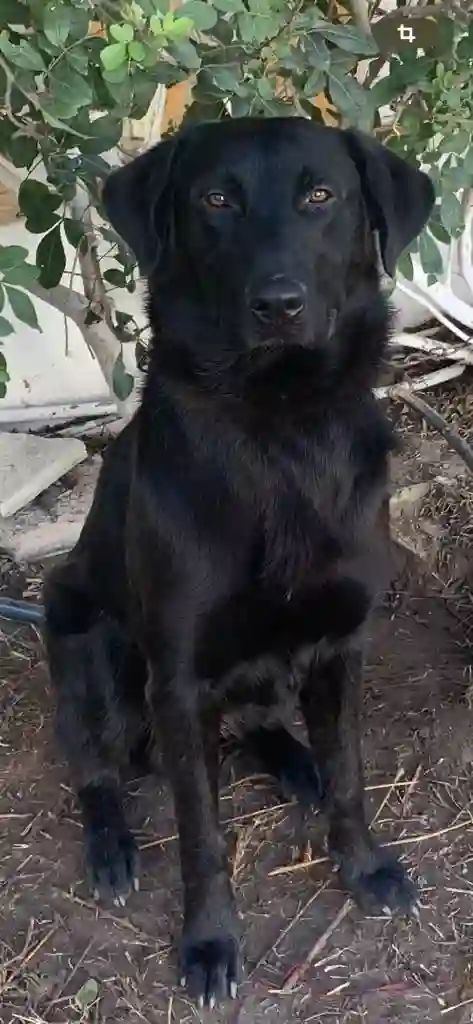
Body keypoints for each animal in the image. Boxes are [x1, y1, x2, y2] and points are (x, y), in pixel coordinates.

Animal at [42, 119, 434, 1007]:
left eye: (320, 195)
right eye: (216, 200)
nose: (278, 304)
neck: (278, 424)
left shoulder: (339, 645)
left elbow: (351, 773)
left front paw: (363, 867)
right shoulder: (180, 680)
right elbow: (202, 836)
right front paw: (211, 943)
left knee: (261, 725)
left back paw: (293, 760)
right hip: (91, 643)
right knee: (96, 768)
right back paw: (112, 848)